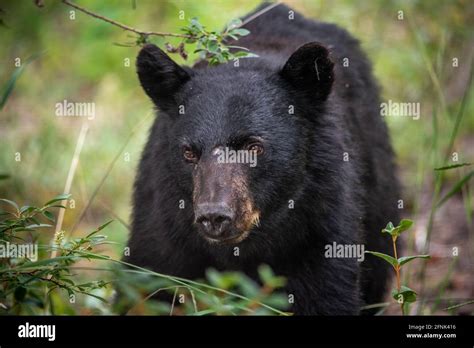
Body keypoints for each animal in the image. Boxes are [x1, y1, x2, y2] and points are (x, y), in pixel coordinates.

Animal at [124, 2, 398, 314]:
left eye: (254, 147)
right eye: (188, 152)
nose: (214, 216)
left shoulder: (323, 226)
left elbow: (329, 293)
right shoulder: (163, 227)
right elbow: (149, 286)